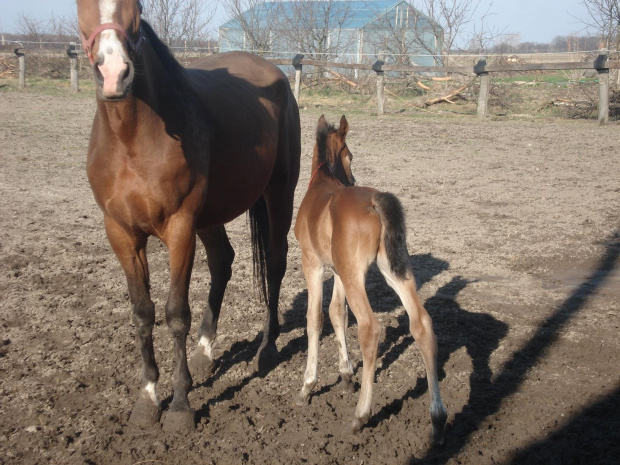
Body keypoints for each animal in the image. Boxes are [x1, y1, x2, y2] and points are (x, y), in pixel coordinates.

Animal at [294, 116, 446, 442]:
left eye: (350, 156)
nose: (352, 179)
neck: (322, 183)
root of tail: (375, 200)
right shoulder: (339, 270)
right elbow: (337, 313)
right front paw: (346, 374)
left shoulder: (313, 263)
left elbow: (315, 318)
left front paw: (307, 385)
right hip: (392, 269)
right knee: (422, 324)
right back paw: (438, 418)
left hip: (358, 275)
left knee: (370, 329)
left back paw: (360, 415)